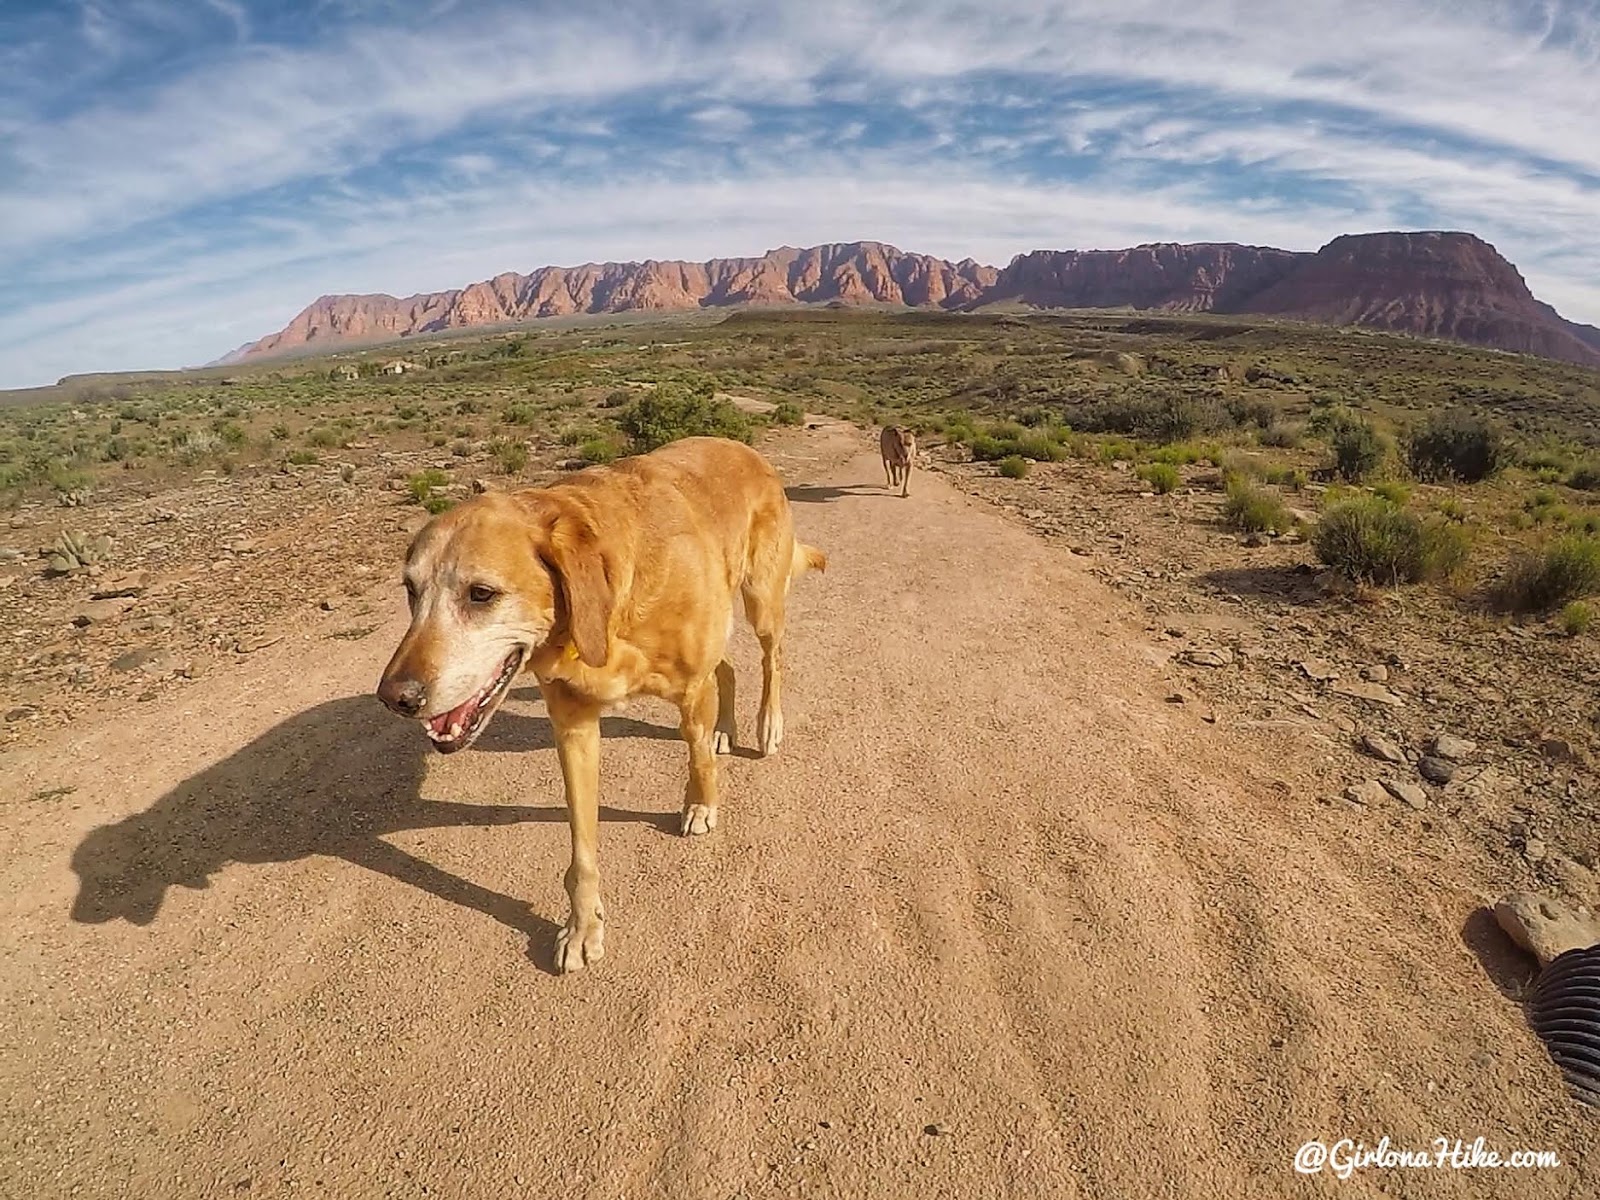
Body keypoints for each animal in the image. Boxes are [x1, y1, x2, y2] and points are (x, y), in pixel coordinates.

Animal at [376, 441, 825, 979]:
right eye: (411, 590)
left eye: (481, 594)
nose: (395, 698)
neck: (609, 606)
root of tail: (744, 448)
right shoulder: (574, 728)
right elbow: (581, 850)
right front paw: (581, 927)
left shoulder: (691, 691)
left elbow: (697, 760)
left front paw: (701, 804)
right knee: (728, 668)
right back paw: (726, 727)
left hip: (761, 600)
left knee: (770, 658)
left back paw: (766, 724)